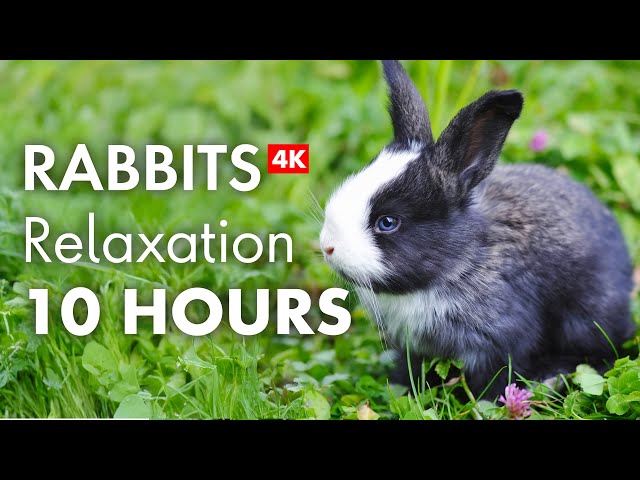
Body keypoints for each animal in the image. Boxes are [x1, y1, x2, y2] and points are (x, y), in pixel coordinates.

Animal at [319, 60, 636, 399]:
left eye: (387, 222)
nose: (327, 247)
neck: (463, 260)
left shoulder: (501, 341)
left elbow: (496, 378)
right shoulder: (414, 348)